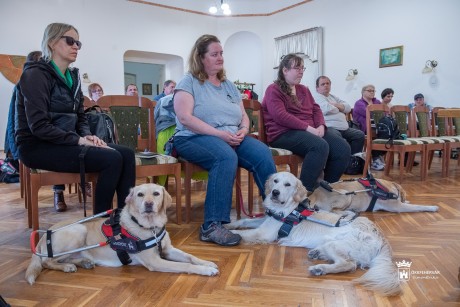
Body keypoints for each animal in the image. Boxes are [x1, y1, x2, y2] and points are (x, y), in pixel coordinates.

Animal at [25, 183, 219, 286]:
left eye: (156, 194)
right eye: (140, 194)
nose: (148, 204)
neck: (150, 227)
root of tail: (44, 234)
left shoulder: (168, 250)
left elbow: (190, 257)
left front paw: (207, 262)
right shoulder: (155, 261)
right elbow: (185, 265)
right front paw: (205, 270)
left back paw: (83, 262)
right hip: (78, 230)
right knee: (46, 261)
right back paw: (67, 267)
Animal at [226, 172, 402, 298]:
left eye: (287, 184)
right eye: (275, 181)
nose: (275, 192)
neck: (290, 210)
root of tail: (382, 238)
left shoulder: (264, 232)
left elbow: (242, 233)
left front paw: (223, 232)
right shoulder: (266, 221)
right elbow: (243, 221)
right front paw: (227, 224)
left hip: (336, 244)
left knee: (349, 264)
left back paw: (320, 269)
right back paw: (317, 254)